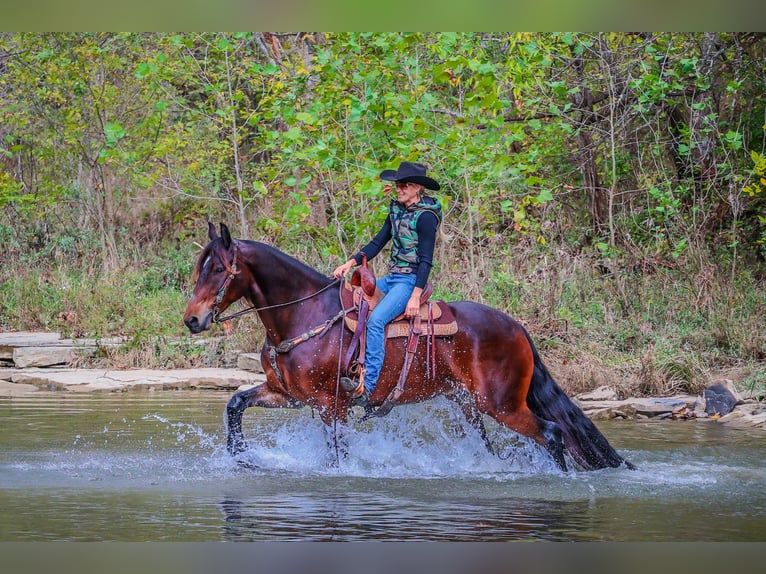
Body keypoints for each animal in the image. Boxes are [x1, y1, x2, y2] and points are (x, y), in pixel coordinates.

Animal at [184, 223, 636, 474]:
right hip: (468, 405)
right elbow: (235, 405)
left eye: (219, 269)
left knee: (552, 433)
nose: (192, 319)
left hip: (502, 405)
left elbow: (336, 455)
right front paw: (241, 459)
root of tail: (517, 328)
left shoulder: (332, 406)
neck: (303, 313)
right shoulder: (289, 395)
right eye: (198, 268)